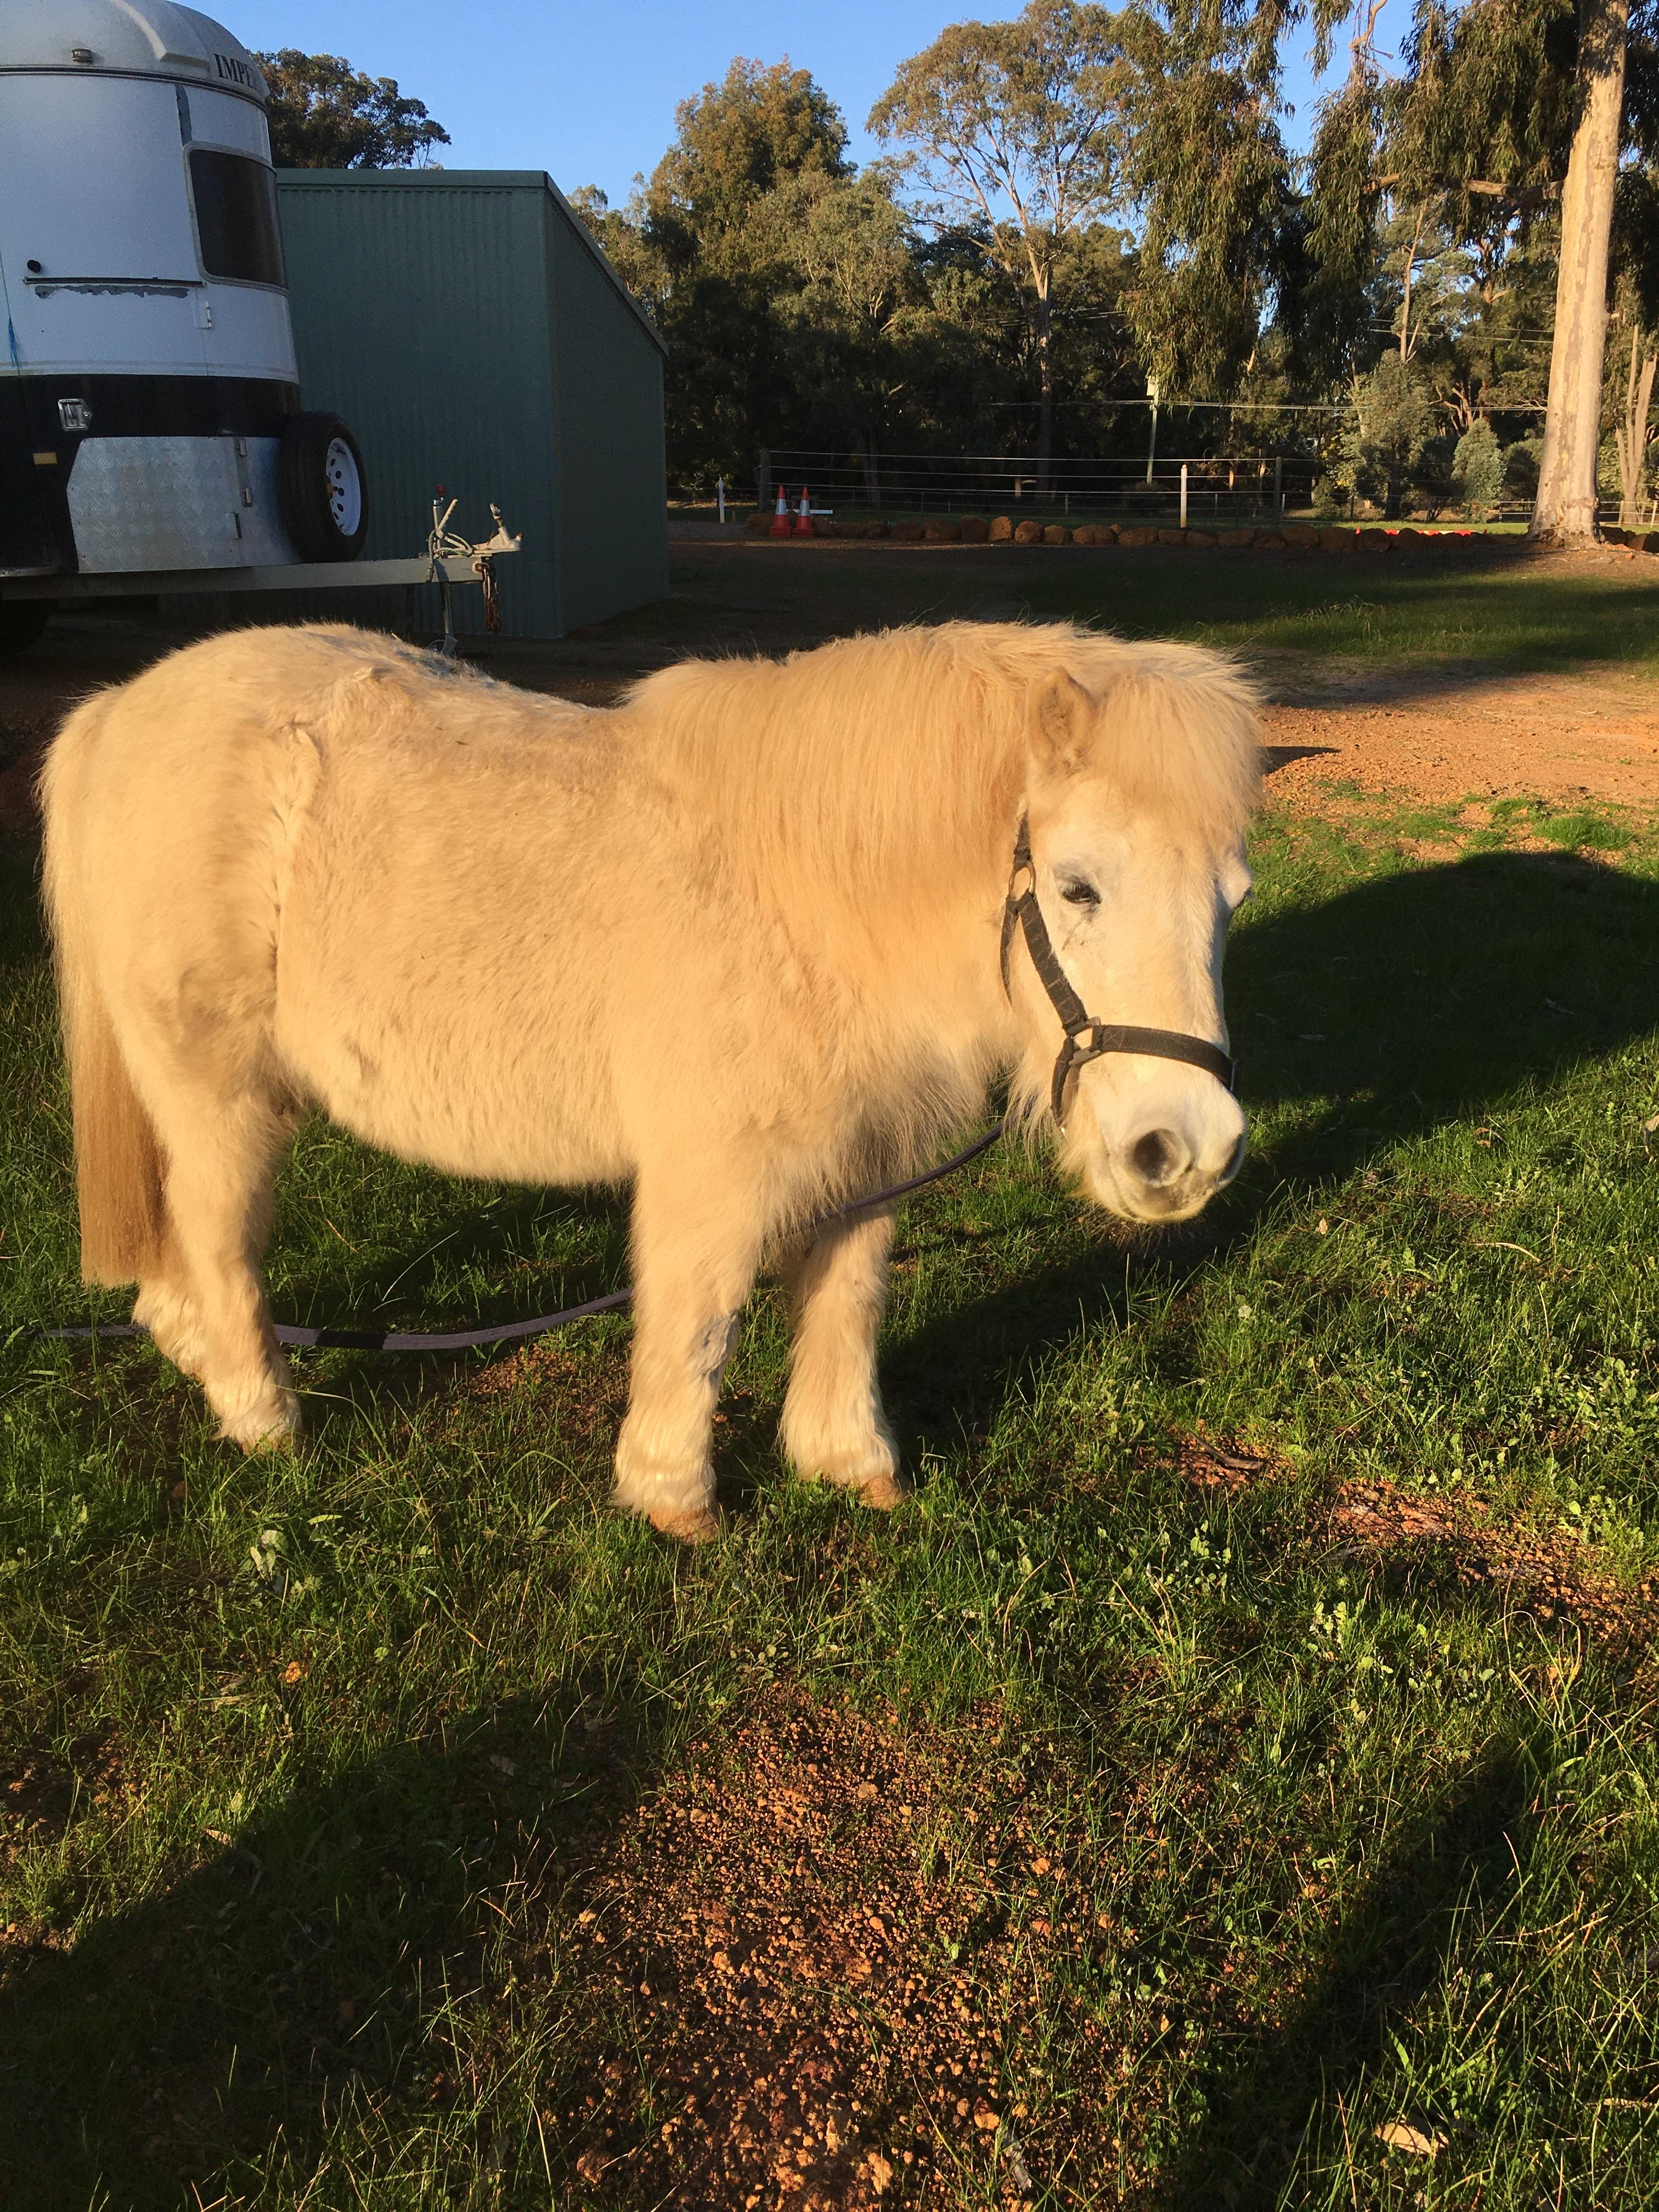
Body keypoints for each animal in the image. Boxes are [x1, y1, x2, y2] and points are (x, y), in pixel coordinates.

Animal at [40, 619, 1260, 1540]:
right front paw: (674, 1495)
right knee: (218, 1234)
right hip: (220, 1099)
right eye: (1078, 886)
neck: (810, 896)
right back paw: (261, 1416)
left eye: (1233, 897)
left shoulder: (865, 1162)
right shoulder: (709, 1175)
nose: (1184, 1153)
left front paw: (847, 1462)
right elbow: (699, 1322)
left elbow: (849, 1300)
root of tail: (119, 709)